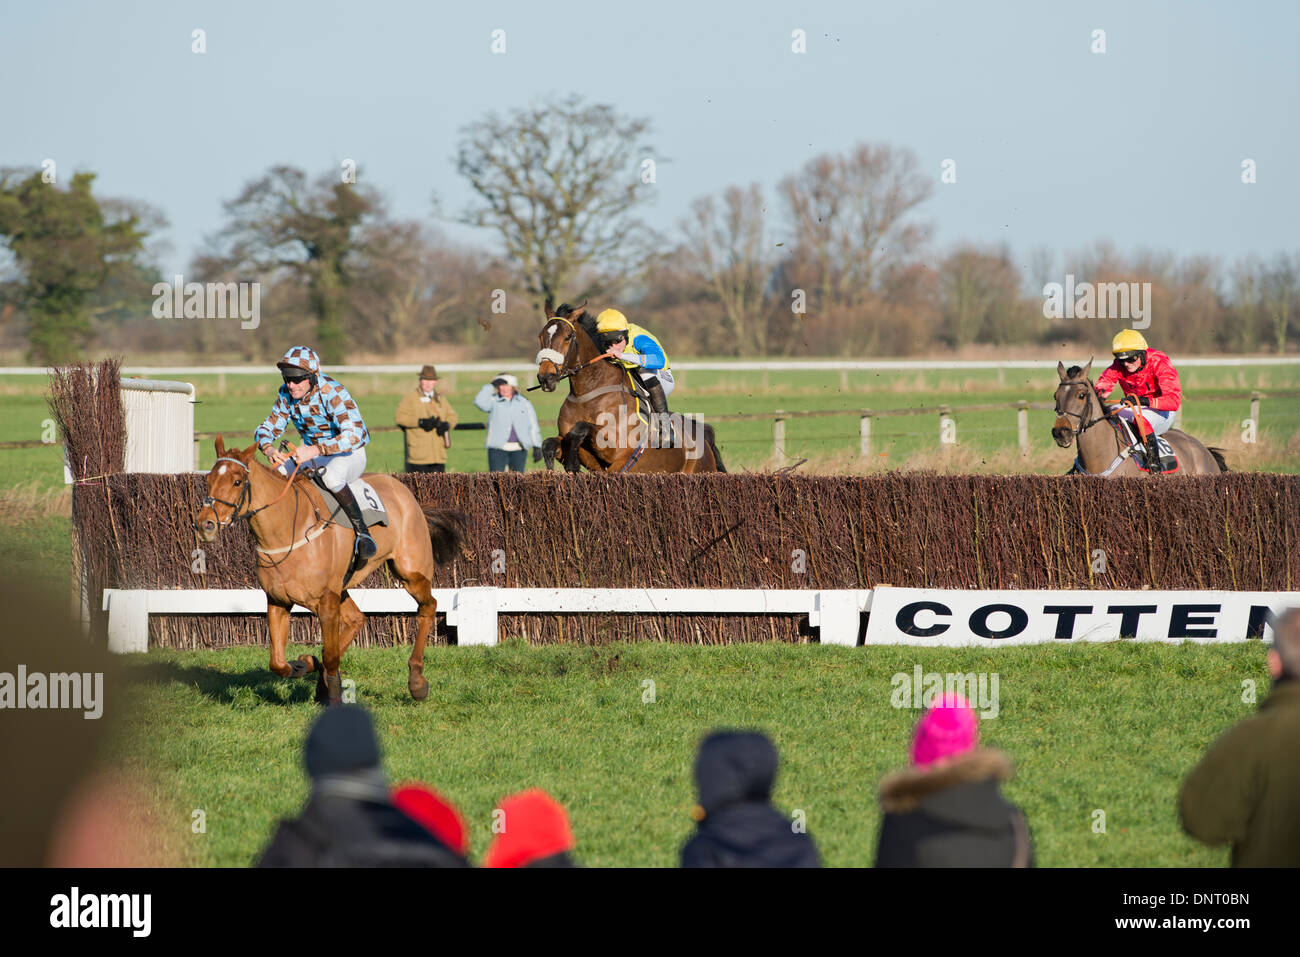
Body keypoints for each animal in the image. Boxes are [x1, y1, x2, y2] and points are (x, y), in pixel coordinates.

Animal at [189, 439, 460, 702]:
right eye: (208, 479)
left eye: (237, 481)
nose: (205, 524)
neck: (288, 531)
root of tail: (403, 490)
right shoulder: (278, 600)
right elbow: (278, 662)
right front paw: (304, 665)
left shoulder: (327, 601)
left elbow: (330, 656)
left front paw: (331, 691)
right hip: (344, 588)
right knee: (357, 619)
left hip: (411, 571)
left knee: (428, 606)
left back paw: (416, 681)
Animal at [533, 302, 728, 475]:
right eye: (540, 336)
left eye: (567, 337)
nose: (546, 377)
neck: (587, 393)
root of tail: (702, 434)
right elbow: (549, 443)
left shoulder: (616, 447)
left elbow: (580, 428)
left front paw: (572, 465)